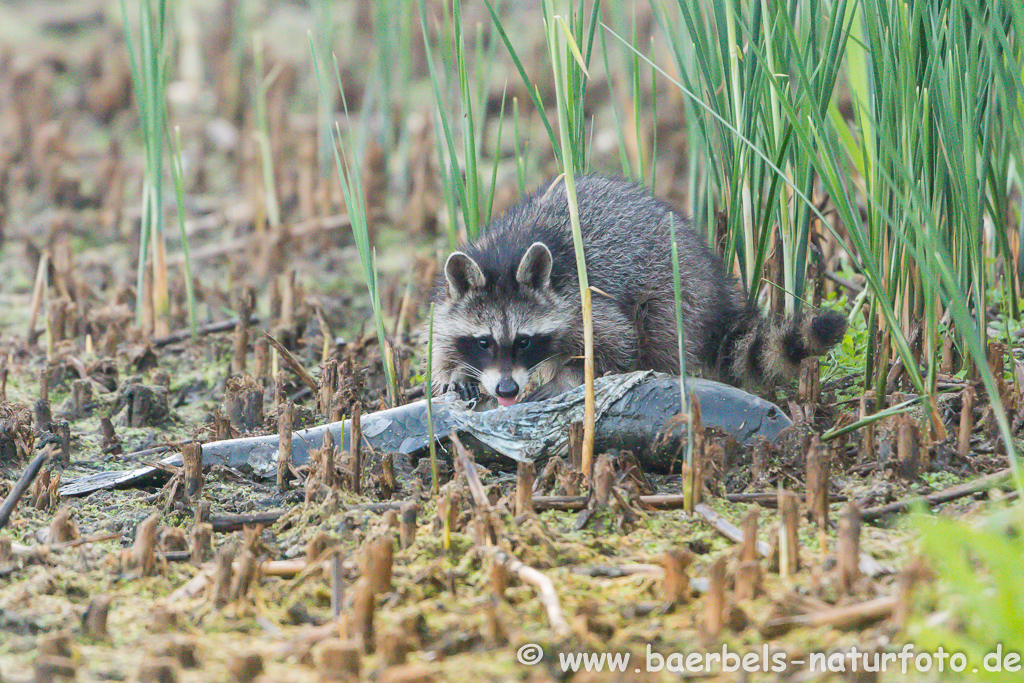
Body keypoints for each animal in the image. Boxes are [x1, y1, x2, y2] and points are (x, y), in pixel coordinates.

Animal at [428, 175, 843, 405]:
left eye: (525, 341)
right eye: (484, 342)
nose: (507, 390)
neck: (506, 254)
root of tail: (717, 282)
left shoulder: (582, 300)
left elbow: (616, 343)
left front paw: (570, 378)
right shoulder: (452, 298)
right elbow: (441, 337)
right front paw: (455, 371)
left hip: (679, 286)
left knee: (660, 329)